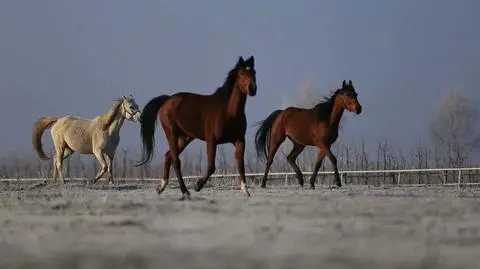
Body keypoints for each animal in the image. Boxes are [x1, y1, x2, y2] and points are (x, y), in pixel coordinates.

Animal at [137, 56, 256, 199]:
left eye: (254, 72)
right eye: (241, 74)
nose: (252, 89)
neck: (228, 112)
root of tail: (167, 100)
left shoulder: (239, 140)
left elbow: (241, 164)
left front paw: (245, 190)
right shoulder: (212, 141)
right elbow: (211, 167)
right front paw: (197, 185)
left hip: (185, 138)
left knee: (168, 156)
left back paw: (161, 187)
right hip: (171, 133)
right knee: (175, 160)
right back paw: (185, 191)